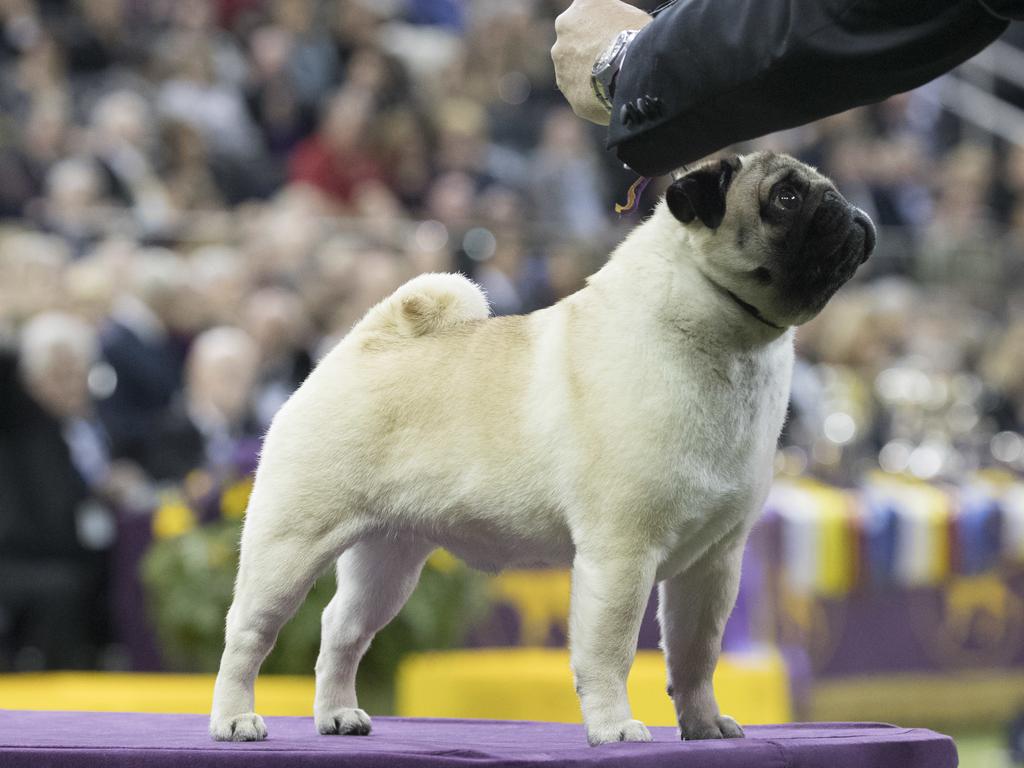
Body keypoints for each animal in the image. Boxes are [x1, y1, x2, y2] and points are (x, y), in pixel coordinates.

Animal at [207, 150, 872, 745]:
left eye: (822, 188)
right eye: (785, 198)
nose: (848, 208)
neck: (728, 341)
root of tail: (364, 344)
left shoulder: (712, 564)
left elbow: (695, 656)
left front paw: (703, 726)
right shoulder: (621, 555)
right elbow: (609, 651)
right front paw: (613, 729)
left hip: (388, 560)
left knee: (342, 629)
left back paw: (336, 715)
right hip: (289, 544)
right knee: (247, 635)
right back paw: (234, 720)